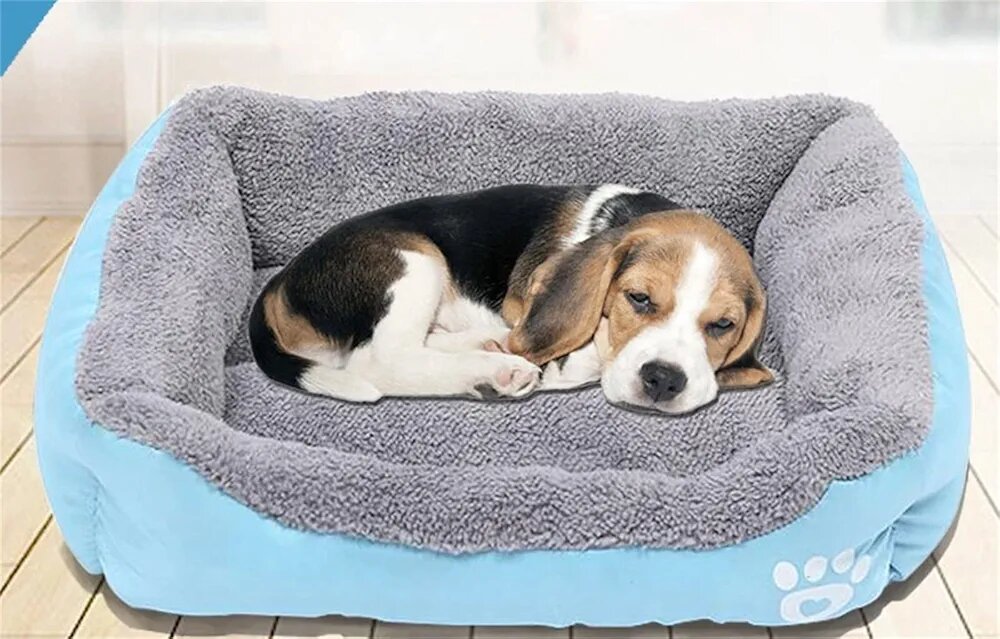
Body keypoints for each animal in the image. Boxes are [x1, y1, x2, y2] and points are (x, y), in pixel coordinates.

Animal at [249, 184, 773, 414]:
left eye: (722, 325)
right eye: (639, 298)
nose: (663, 380)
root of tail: (281, 282)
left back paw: (490, 351)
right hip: (414, 260)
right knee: (378, 360)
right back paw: (498, 371)